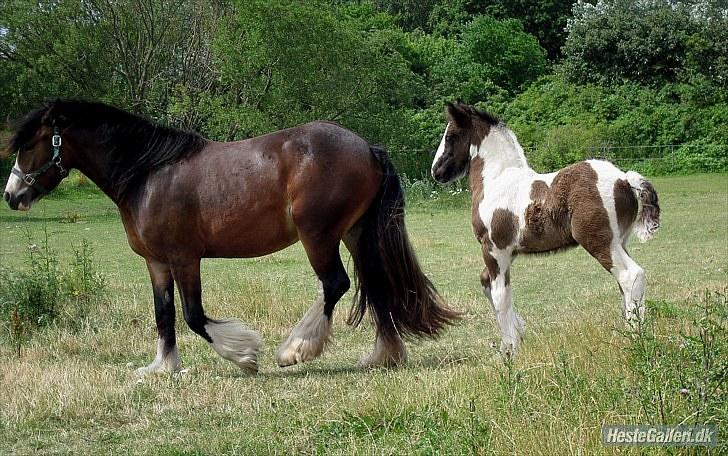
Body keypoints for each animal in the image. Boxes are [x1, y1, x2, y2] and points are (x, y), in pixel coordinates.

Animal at [2, 100, 458, 374]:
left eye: (31, 143)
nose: (12, 195)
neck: (149, 174)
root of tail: (367, 147)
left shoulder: (184, 258)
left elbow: (193, 315)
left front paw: (244, 355)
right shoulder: (157, 262)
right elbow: (164, 314)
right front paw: (163, 368)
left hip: (319, 236)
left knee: (336, 284)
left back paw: (295, 349)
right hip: (355, 234)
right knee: (376, 287)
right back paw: (384, 356)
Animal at [430, 101, 664, 358]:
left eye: (450, 136)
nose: (436, 171)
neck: (497, 180)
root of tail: (623, 179)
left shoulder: (493, 248)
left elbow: (500, 295)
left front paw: (510, 350)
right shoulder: (509, 252)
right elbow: (487, 284)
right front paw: (516, 335)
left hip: (599, 242)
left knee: (631, 276)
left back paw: (634, 338)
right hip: (619, 241)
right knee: (625, 284)